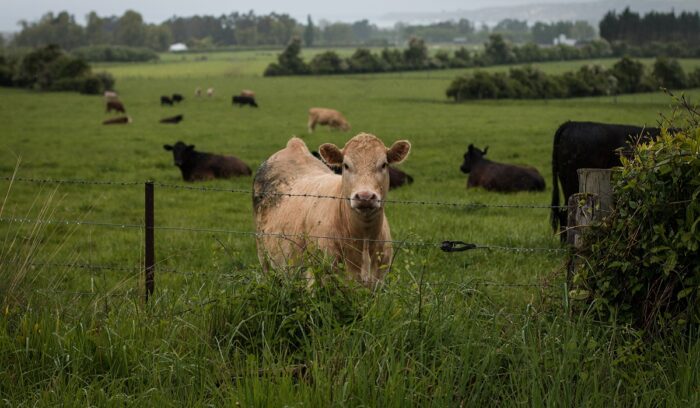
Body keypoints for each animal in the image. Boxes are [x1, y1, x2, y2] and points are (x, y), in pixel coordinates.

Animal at [254, 132, 410, 286]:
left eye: (384, 164)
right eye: (346, 165)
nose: (365, 196)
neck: (364, 240)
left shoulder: (379, 280)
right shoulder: (315, 277)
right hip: (263, 256)